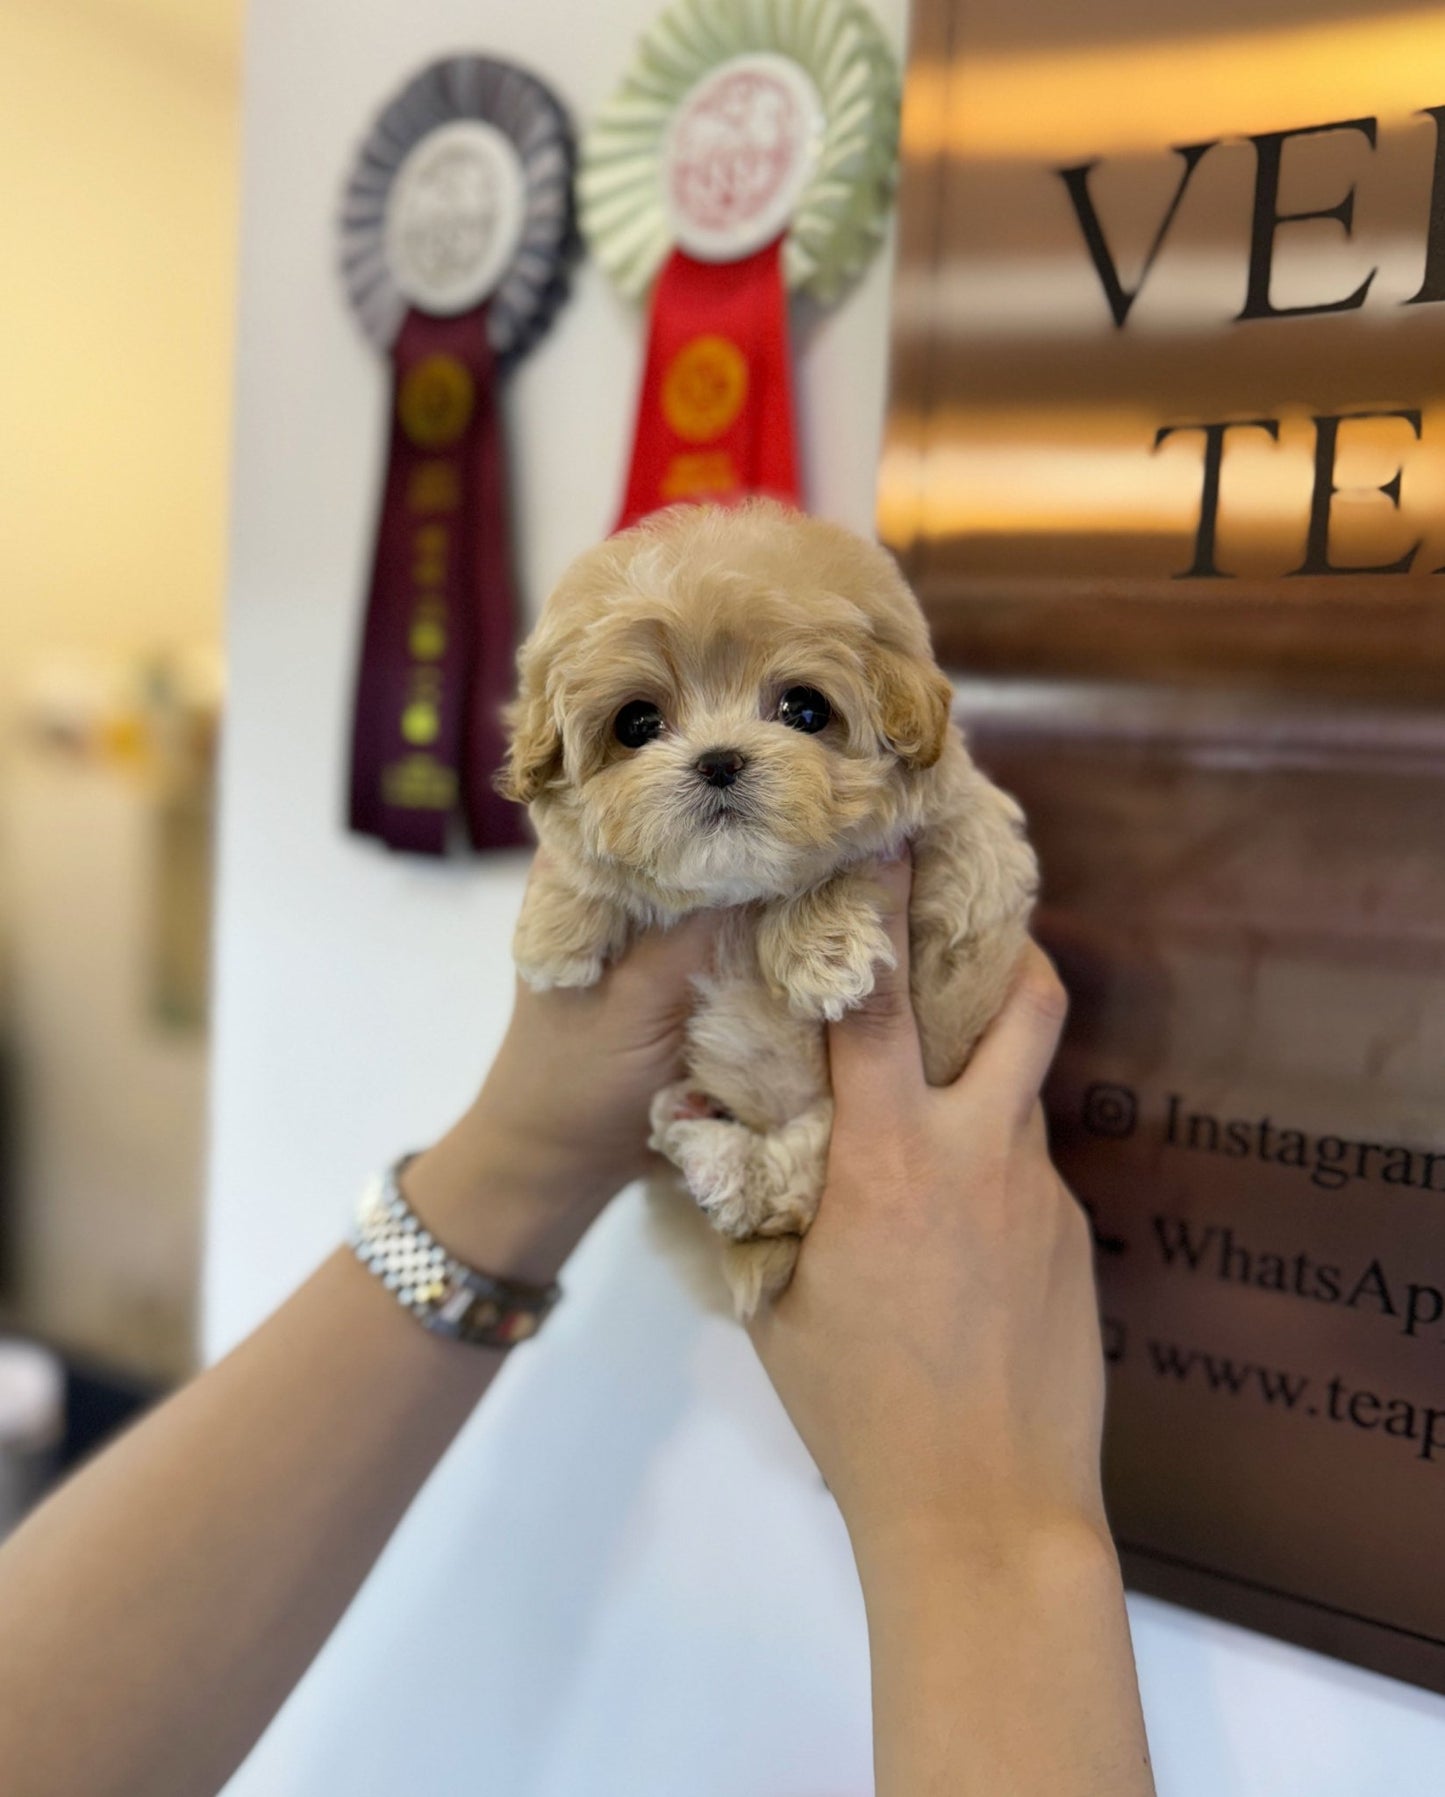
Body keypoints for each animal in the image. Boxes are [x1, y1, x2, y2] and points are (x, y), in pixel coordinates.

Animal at [499, 499, 1035, 1315]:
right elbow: (583, 860)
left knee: (786, 1191)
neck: (738, 894)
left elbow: (854, 861)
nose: (718, 759)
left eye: (804, 709)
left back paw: (717, 1164)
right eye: (637, 724)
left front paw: (819, 951)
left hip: (829, 1141)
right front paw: (555, 931)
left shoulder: (963, 861)